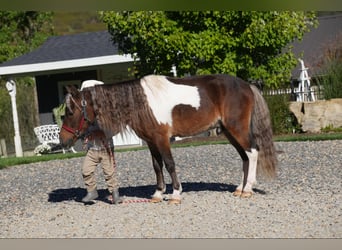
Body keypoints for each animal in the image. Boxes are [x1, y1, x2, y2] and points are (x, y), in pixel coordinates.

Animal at [60, 73, 276, 203]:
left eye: (70, 111)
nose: (62, 140)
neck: (140, 102)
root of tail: (247, 85)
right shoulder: (151, 142)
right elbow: (157, 166)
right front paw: (158, 193)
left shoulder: (162, 139)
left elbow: (170, 164)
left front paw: (175, 194)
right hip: (229, 132)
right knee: (245, 156)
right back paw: (240, 188)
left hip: (237, 128)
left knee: (253, 152)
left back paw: (248, 189)